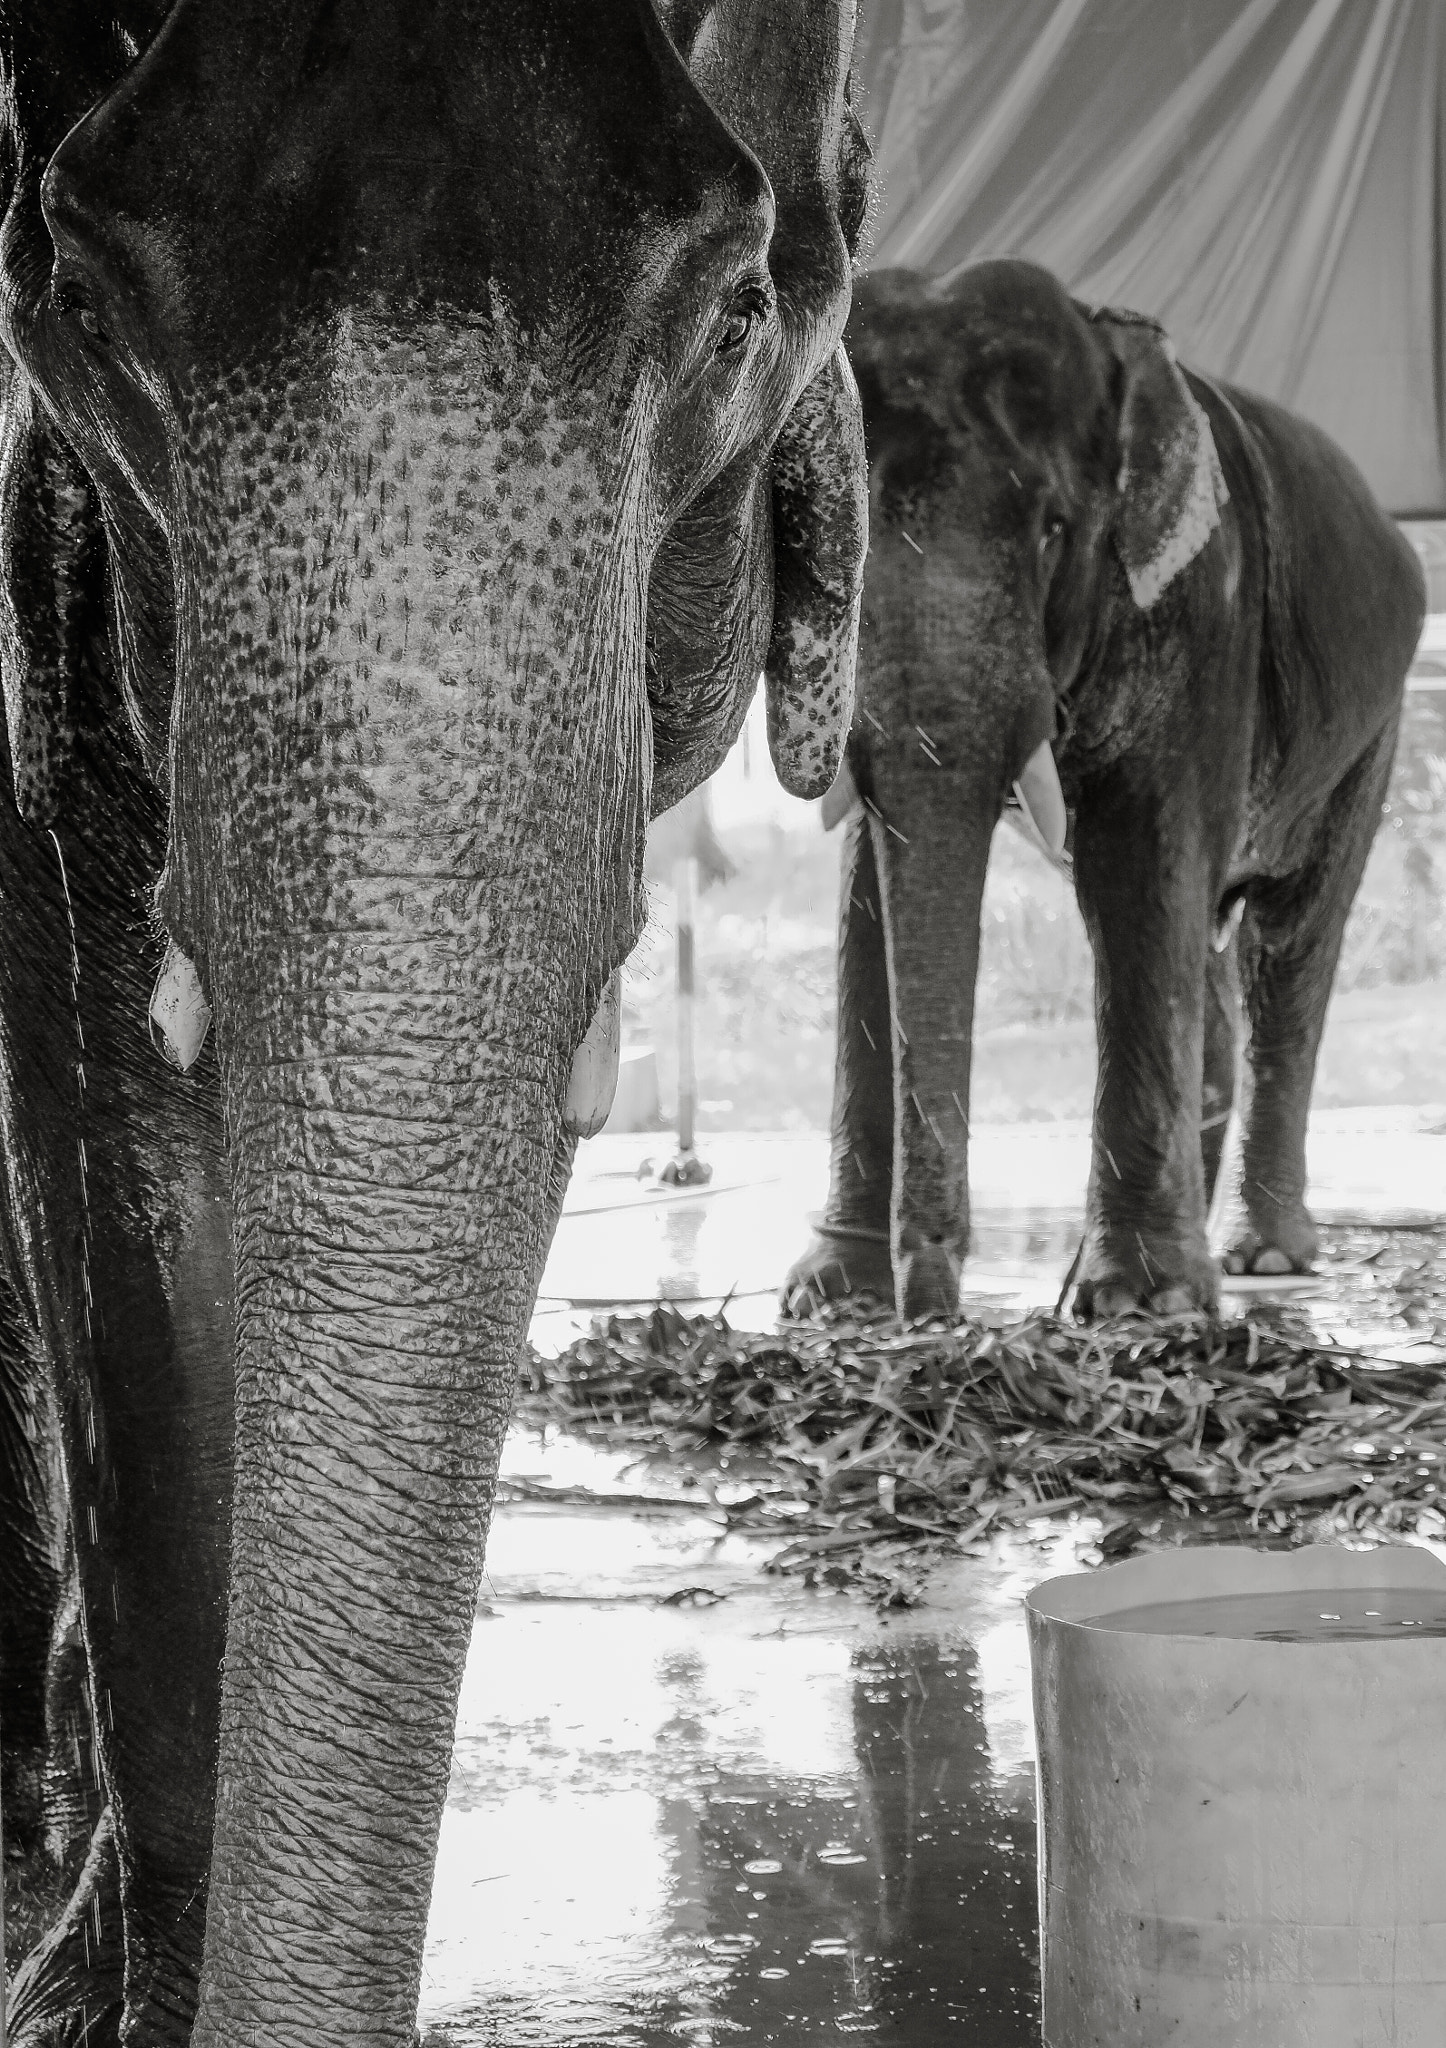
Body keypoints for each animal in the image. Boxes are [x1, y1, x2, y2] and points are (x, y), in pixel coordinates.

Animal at [782, 264, 1417, 1327]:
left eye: (1053, 531)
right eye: (842, 539)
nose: (936, 1313)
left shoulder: (1201, 609)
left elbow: (1143, 866)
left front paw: (1141, 1307)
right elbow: (864, 889)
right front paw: (832, 1297)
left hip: (1370, 730)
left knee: (1286, 942)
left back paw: (1260, 1261)